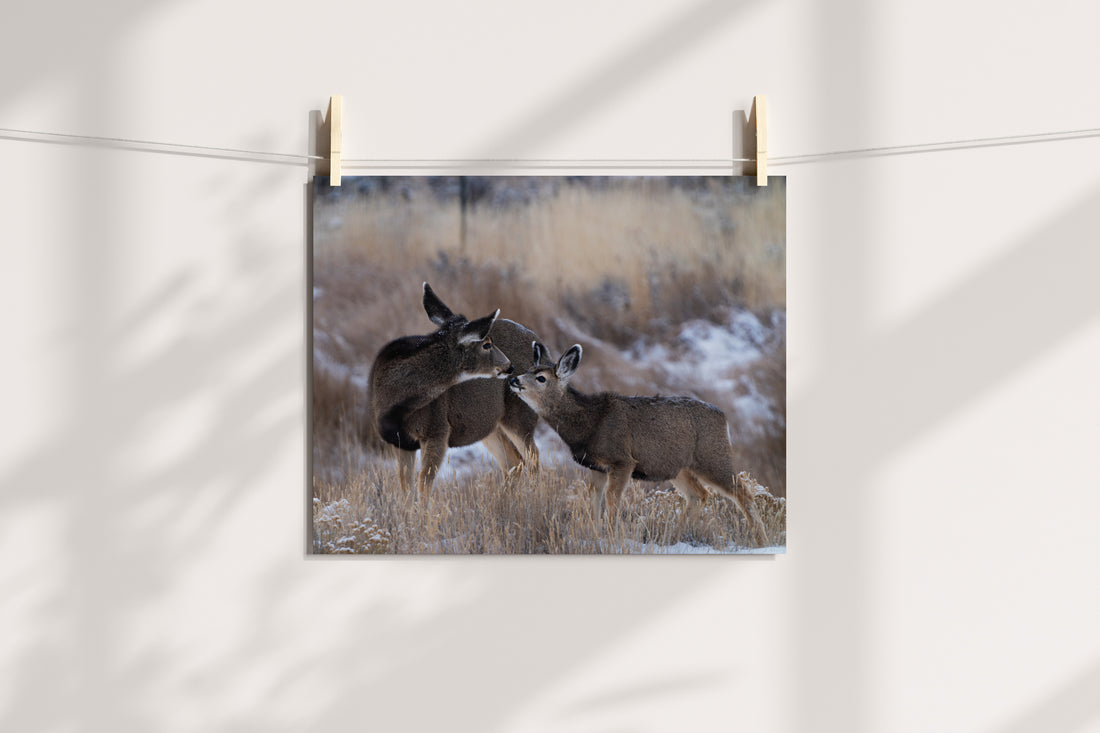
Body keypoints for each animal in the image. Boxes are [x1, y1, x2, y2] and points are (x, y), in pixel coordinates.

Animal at [508, 342, 769, 546]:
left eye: (541, 378)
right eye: (529, 369)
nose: (513, 379)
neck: (590, 423)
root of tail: (724, 418)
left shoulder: (622, 459)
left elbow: (612, 499)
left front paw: (610, 535)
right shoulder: (596, 466)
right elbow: (594, 499)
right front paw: (594, 533)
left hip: (712, 456)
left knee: (742, 491)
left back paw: (760, 540)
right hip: (678, 467)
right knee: (700, 494)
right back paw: (673, 537)